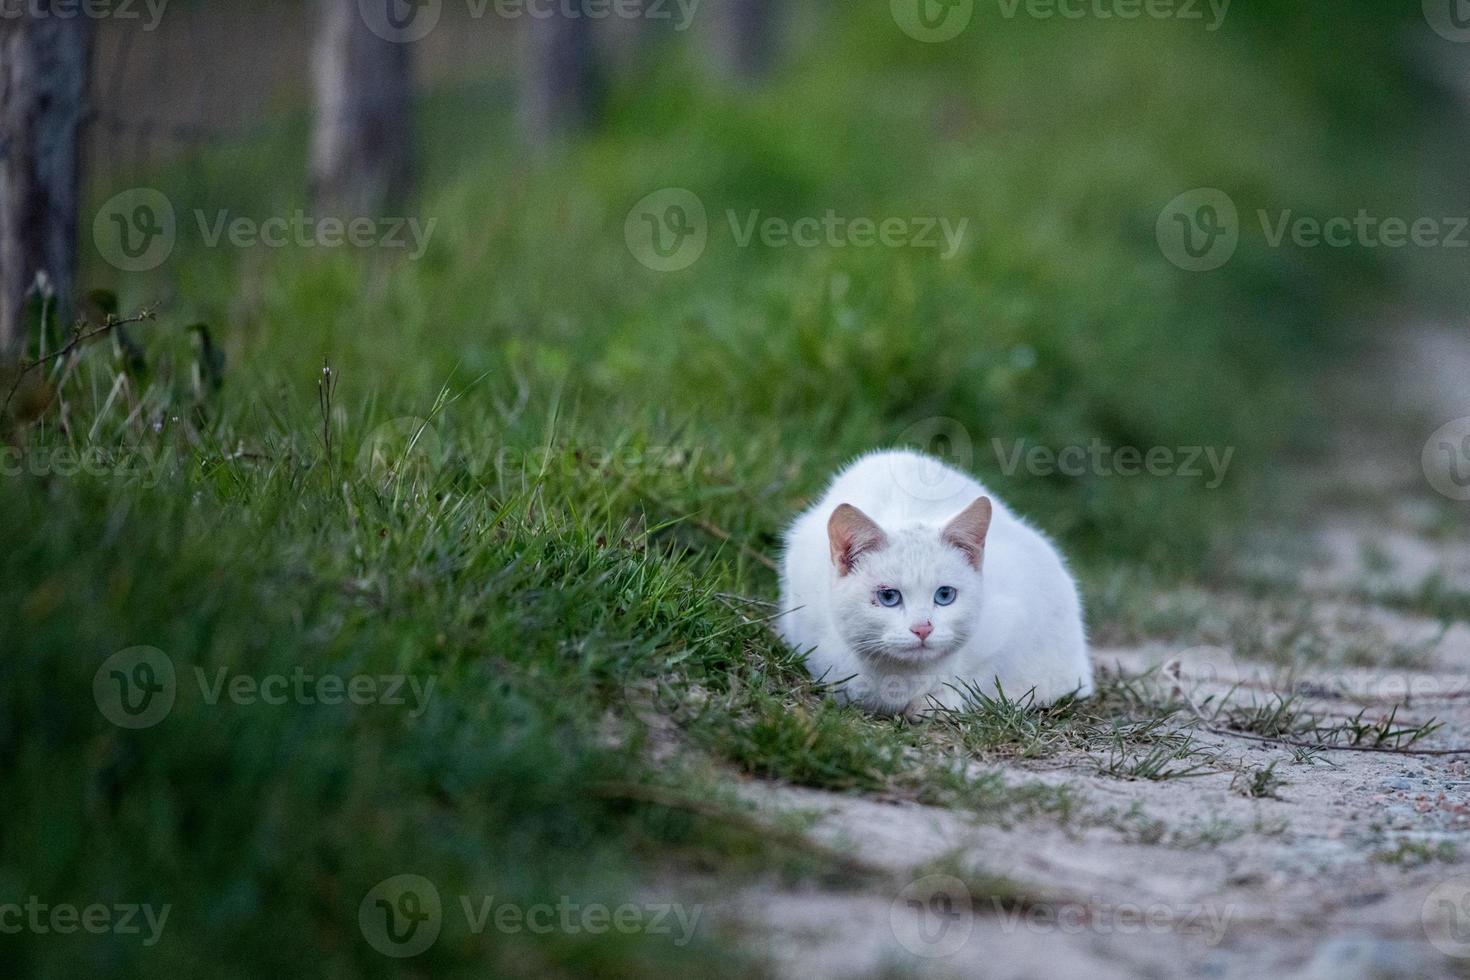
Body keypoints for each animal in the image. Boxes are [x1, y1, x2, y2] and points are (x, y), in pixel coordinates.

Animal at [782, 449, 1093, 717]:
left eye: (945, 595)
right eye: (889, 597)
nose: (923, 628)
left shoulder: (1017, 616)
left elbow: (981, 678)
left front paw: (939, 702)